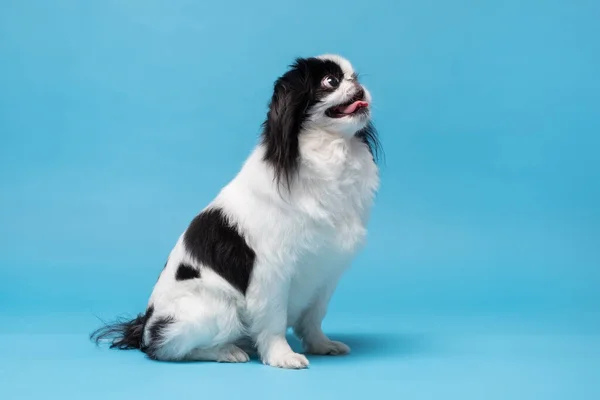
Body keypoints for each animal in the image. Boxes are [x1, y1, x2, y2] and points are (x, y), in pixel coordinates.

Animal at [91, 54, 382, 368]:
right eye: (331, 81)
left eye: (354, 76)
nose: (359, 86)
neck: (330, 150)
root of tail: (145, 326)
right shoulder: (272, 272)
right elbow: (274, 320)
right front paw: (282, 356)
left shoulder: (326, 271)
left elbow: (313, 318)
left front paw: (321, 345)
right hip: (217, 309)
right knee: (169, 349)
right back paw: (226, 351)